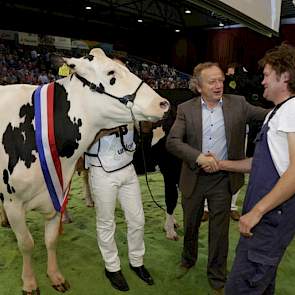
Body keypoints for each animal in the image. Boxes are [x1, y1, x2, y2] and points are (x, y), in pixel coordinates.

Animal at [0, 47, 170, 294]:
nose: (163, 104)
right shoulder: (13, 203)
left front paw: (55, 277)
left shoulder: (57, 194)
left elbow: (50, 240)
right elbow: (27, 244)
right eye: (111, 73)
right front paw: (30, 282)